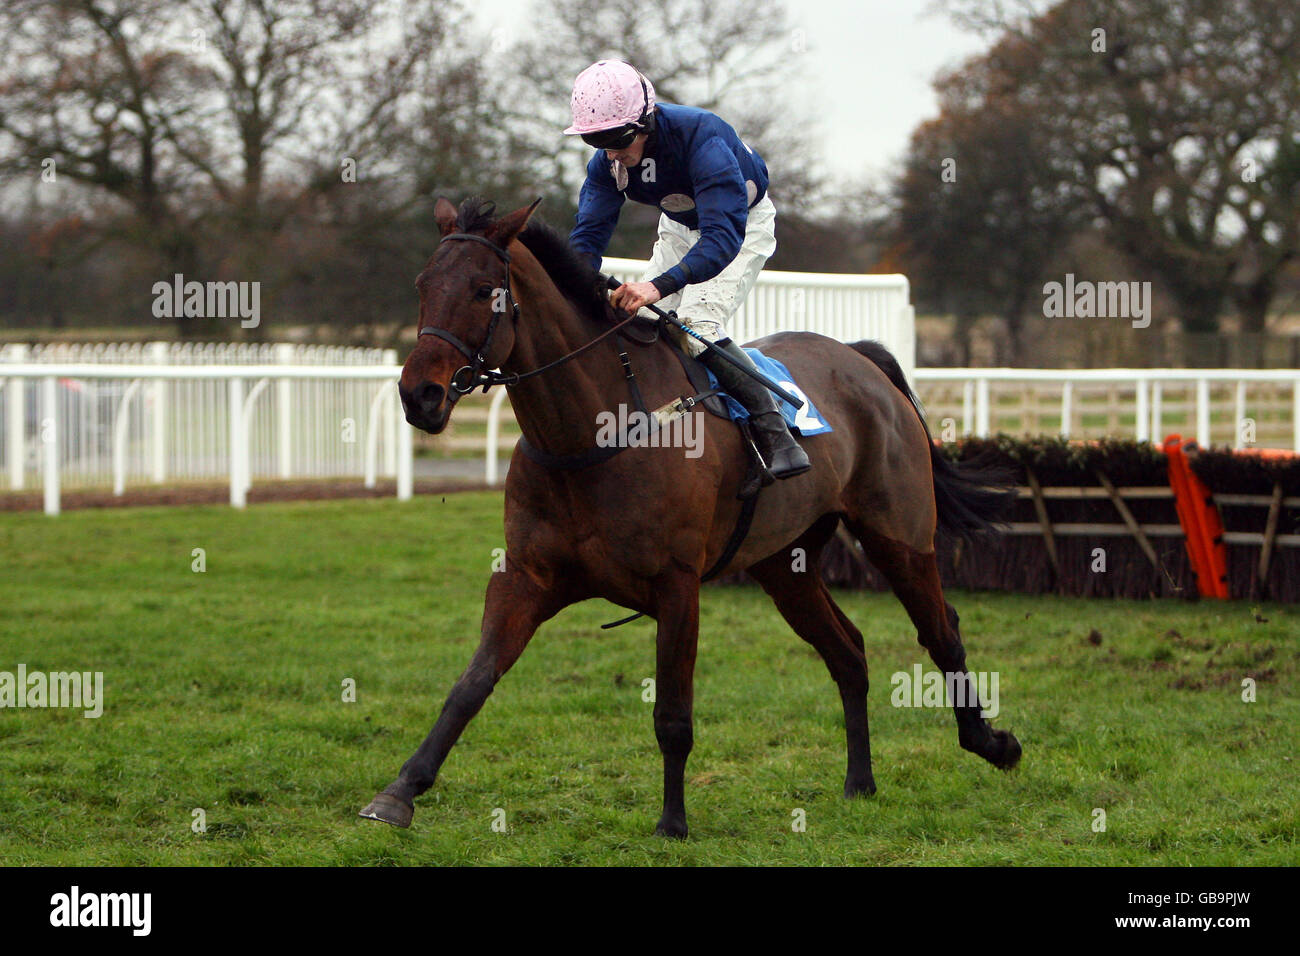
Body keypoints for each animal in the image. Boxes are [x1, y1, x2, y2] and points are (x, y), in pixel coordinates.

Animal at [361, 196, 1019, 837]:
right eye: (423, 284)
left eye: (483, 291)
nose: (419, 395)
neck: (593, 434)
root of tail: (860, 359)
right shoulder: (526, 577)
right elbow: (470, 685)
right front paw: (399, 792)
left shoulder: (677, 584)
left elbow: (673, 714)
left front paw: (672, 822)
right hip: (785, 564)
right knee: (849, 652)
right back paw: (860, 781)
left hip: (899, 535)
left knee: (942, 632)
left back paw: (992, 743)